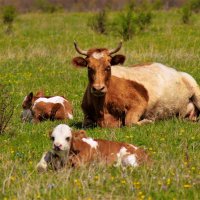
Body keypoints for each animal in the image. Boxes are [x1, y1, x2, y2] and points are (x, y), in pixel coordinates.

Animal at [72, 41, 200, 127]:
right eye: (89, 67)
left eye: (108, 67)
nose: (98, 88)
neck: (102, 110)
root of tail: (179, 72)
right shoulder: (86, 115)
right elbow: (86, 123)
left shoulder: (139, 103)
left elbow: (129, 122)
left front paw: (148, 121)